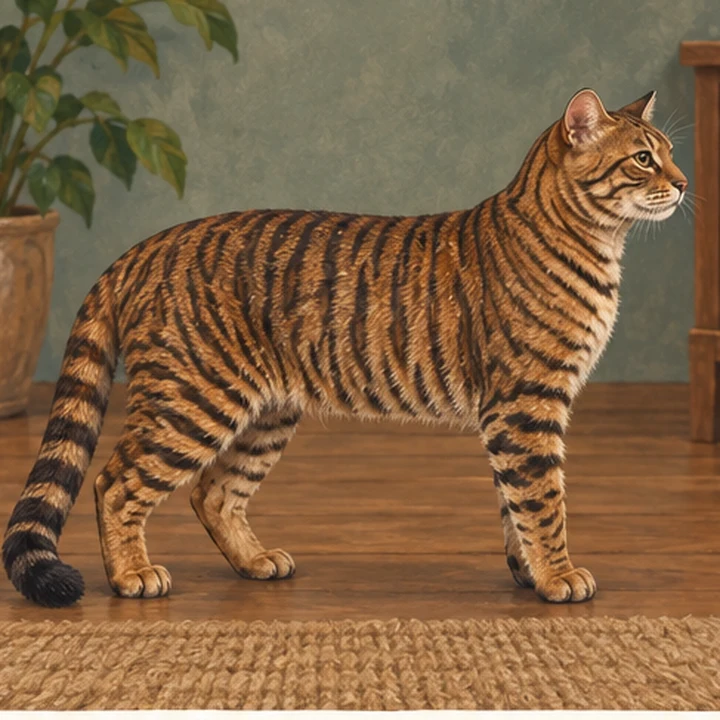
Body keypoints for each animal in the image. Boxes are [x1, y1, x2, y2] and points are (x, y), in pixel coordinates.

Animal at [2, 88, 687, 607]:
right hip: (192, 402)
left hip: (265, 413)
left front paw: (528, 572)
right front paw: (557, 575)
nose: (684, 185)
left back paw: (255, 561)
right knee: (114, 482)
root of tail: (144, 245)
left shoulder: (520, 411)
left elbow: (515, 502)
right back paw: (130, 576)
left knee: (213, 492)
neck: (600, 243)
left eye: (673, 155)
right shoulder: (528, 403)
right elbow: (543, 499)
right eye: (643, 159)